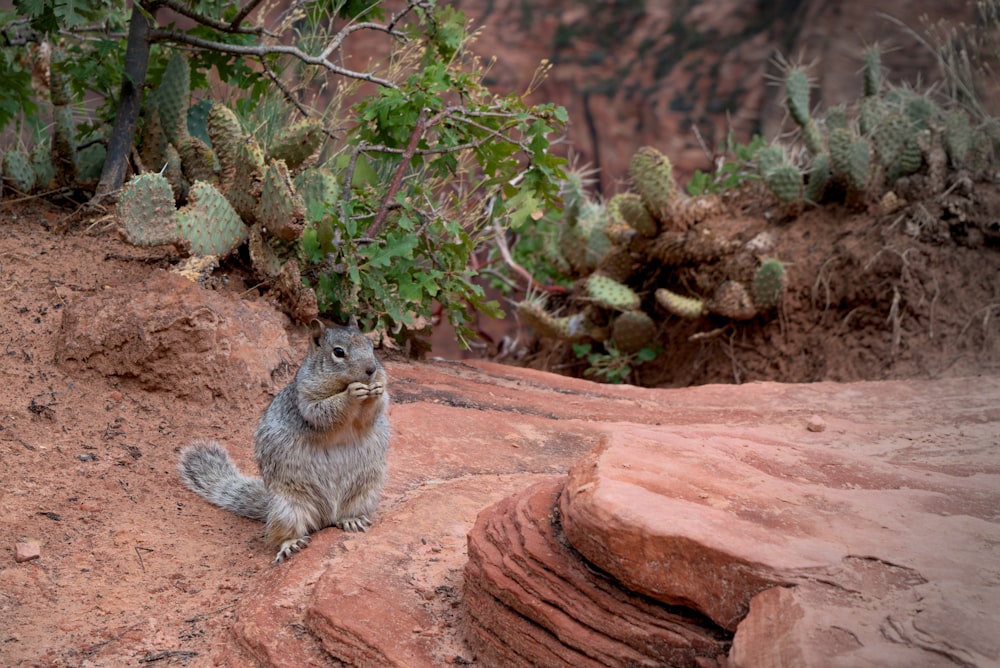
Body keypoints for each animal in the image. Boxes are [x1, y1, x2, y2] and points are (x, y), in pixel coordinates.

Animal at [178, 318, 388, 564]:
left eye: (371, 346)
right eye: (338, 352)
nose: (371, 370)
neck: (339, 385)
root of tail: (328, 516)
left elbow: (374, 412)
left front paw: (377, 390)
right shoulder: (306, 400)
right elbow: (324, 413)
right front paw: (352, 394)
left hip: (364, 493)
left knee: (346, 514)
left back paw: (351, 519)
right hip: (288, 507)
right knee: (283, 533)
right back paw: (292, 543)